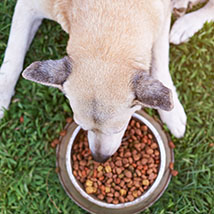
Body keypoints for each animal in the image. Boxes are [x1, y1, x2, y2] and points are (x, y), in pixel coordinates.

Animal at [0, 0, 187, 162]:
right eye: (80, 125)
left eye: (119, 129)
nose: (99, 159)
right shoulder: (27, 7)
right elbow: (13, 58)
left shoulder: (162, 21)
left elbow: (159, 62)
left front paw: (172, 113)